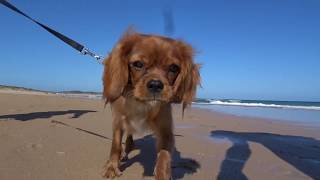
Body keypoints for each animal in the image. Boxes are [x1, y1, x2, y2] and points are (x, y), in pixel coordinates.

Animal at [102, 30, 200, 179]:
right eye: (138, 64)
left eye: (173, 68)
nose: (155, 84)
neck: (141, 104)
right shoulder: (118, 122)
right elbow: (116, 145)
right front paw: (112, 167)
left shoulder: (166, 132)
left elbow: (164, 156)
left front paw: (162, 174)